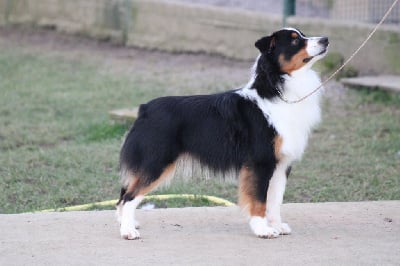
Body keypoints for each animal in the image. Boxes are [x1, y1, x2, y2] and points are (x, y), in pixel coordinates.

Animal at [115, 28, 328, 239]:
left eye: (302, 34)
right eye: (294, 41)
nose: (326, 39)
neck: (275, 91)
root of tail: (144, 109)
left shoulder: (281, 163)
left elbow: (275, 200)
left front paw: (277, 225)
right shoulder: (261, 161)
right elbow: (259, 199)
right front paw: (262, 229)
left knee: (124, 194)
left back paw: (127, 223)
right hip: (156, 161)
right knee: (129, 197)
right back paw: (127, 231)